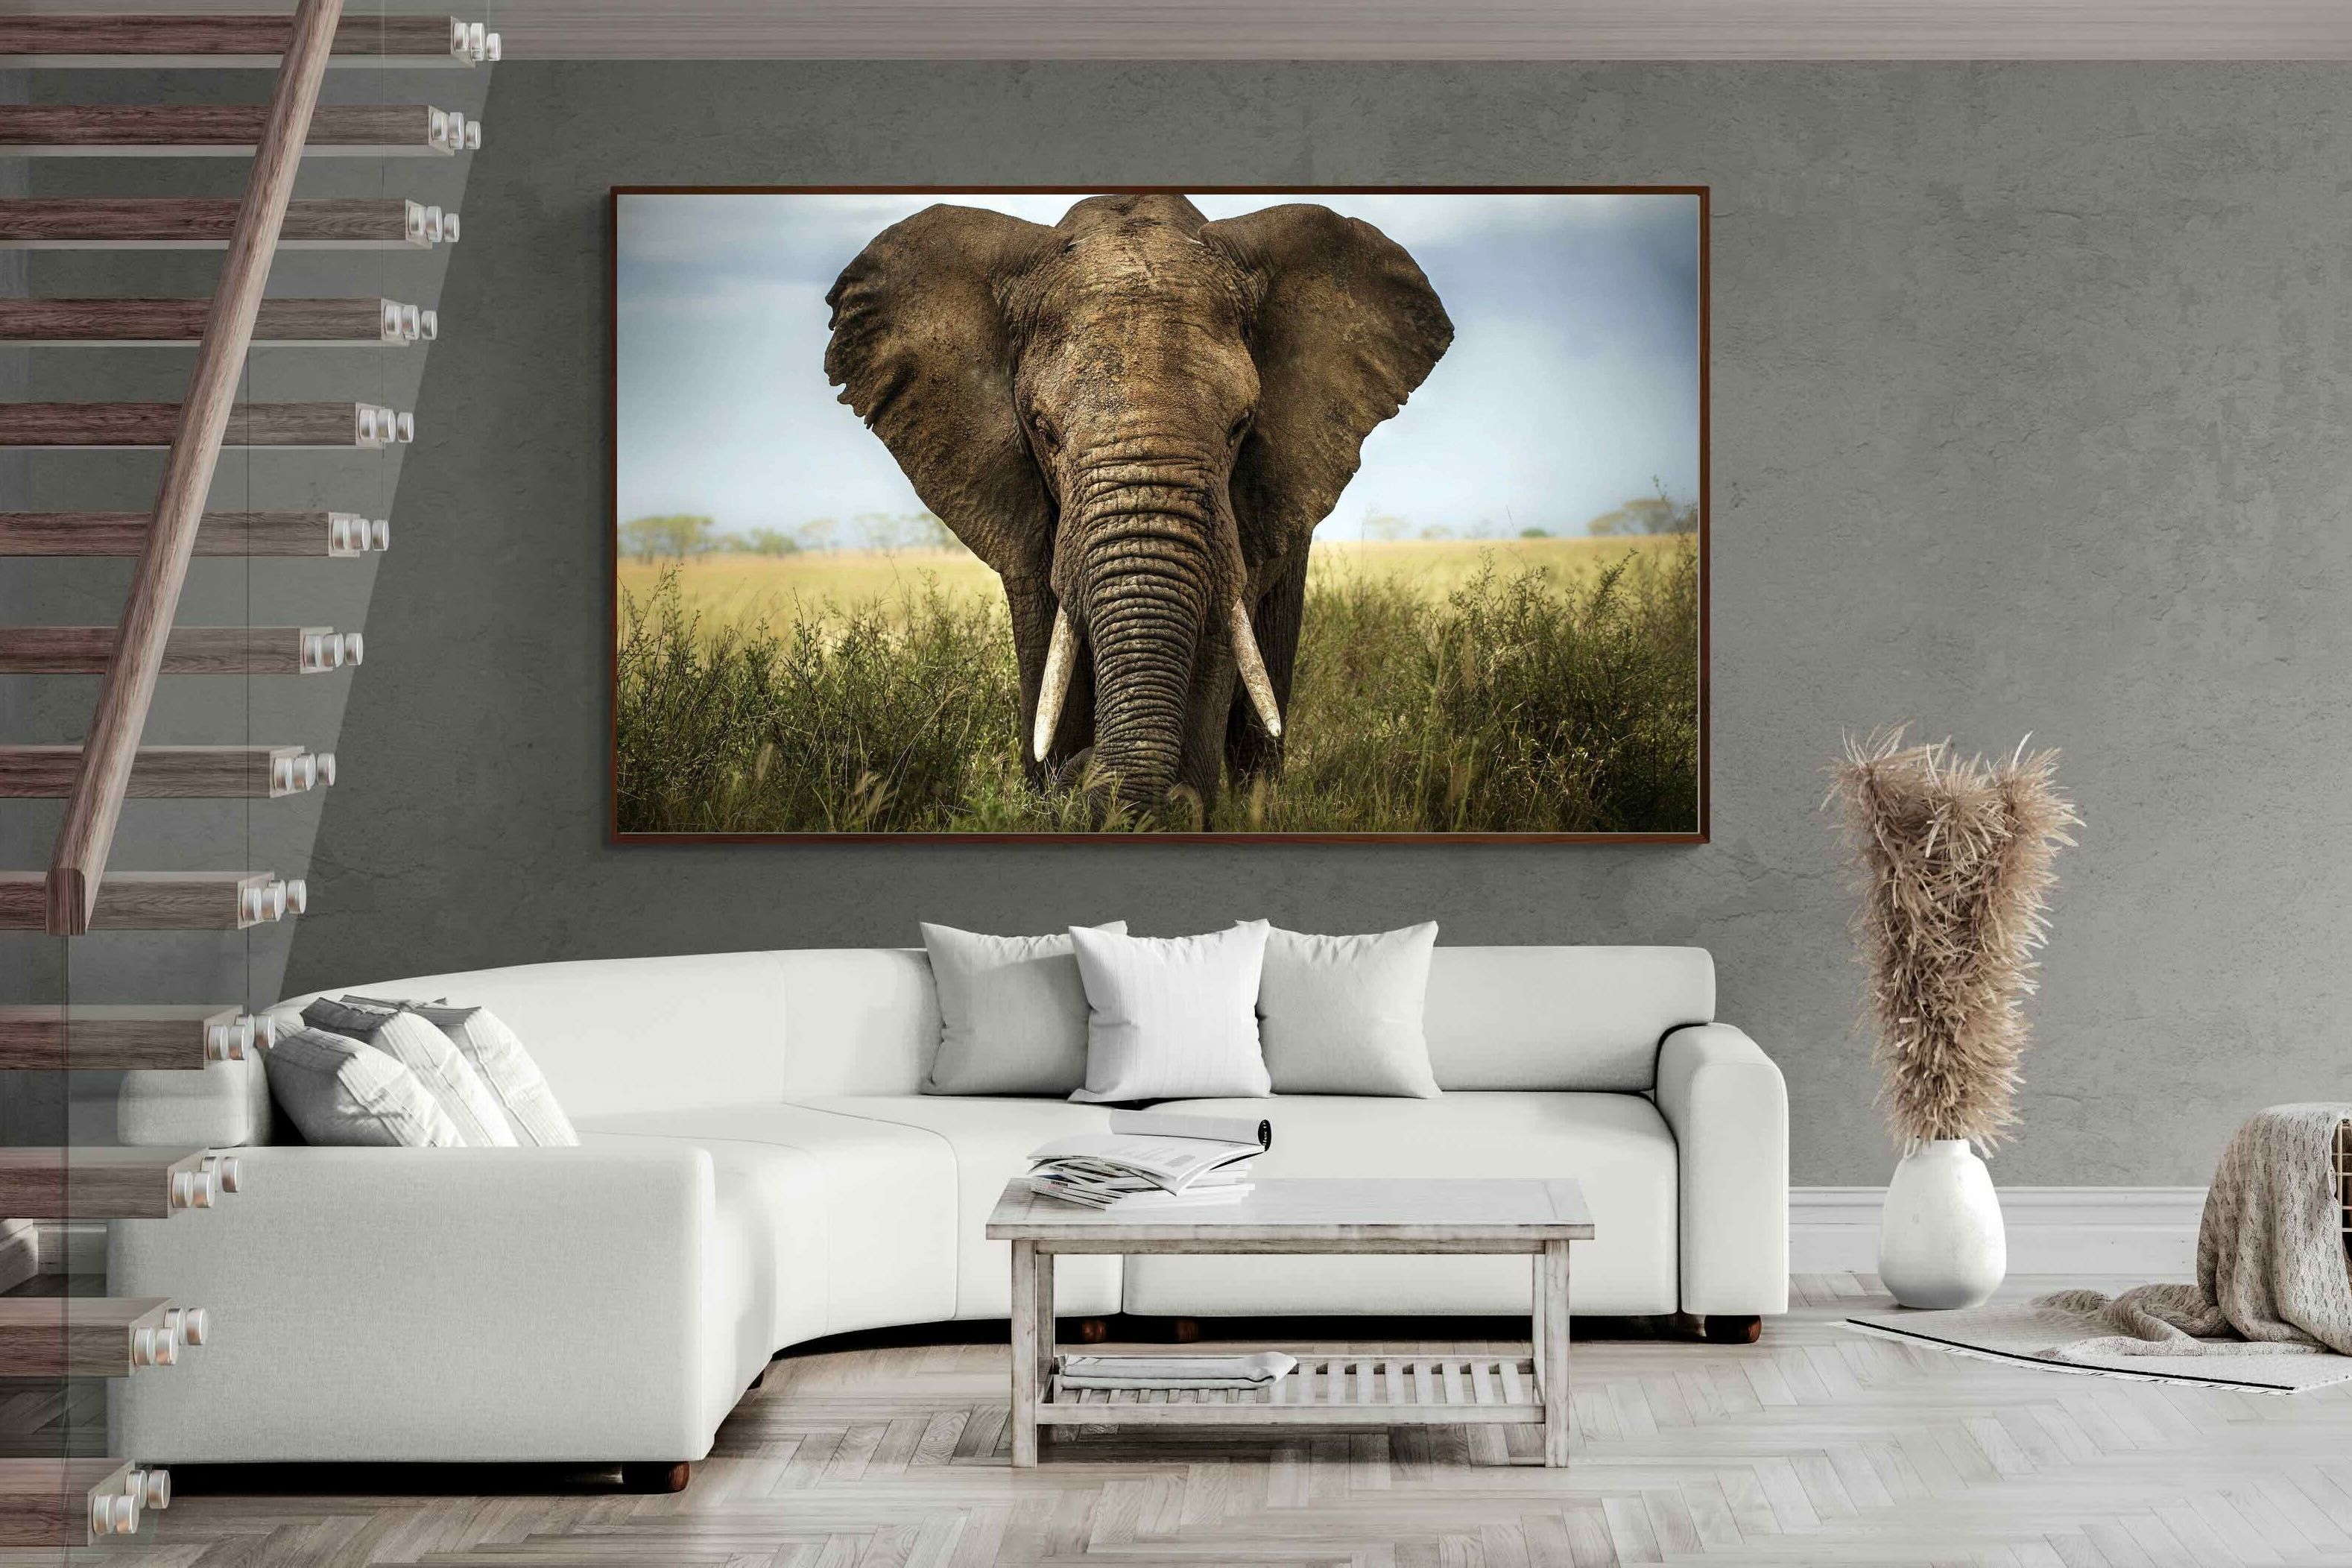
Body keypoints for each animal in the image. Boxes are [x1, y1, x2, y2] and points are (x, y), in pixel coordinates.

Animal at [823, 192, 1452, 813]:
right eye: (1044, 431)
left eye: (1240, 427)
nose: (1081, 774)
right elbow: (1047, 647)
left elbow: (1217, 642)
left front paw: (1178, 807)